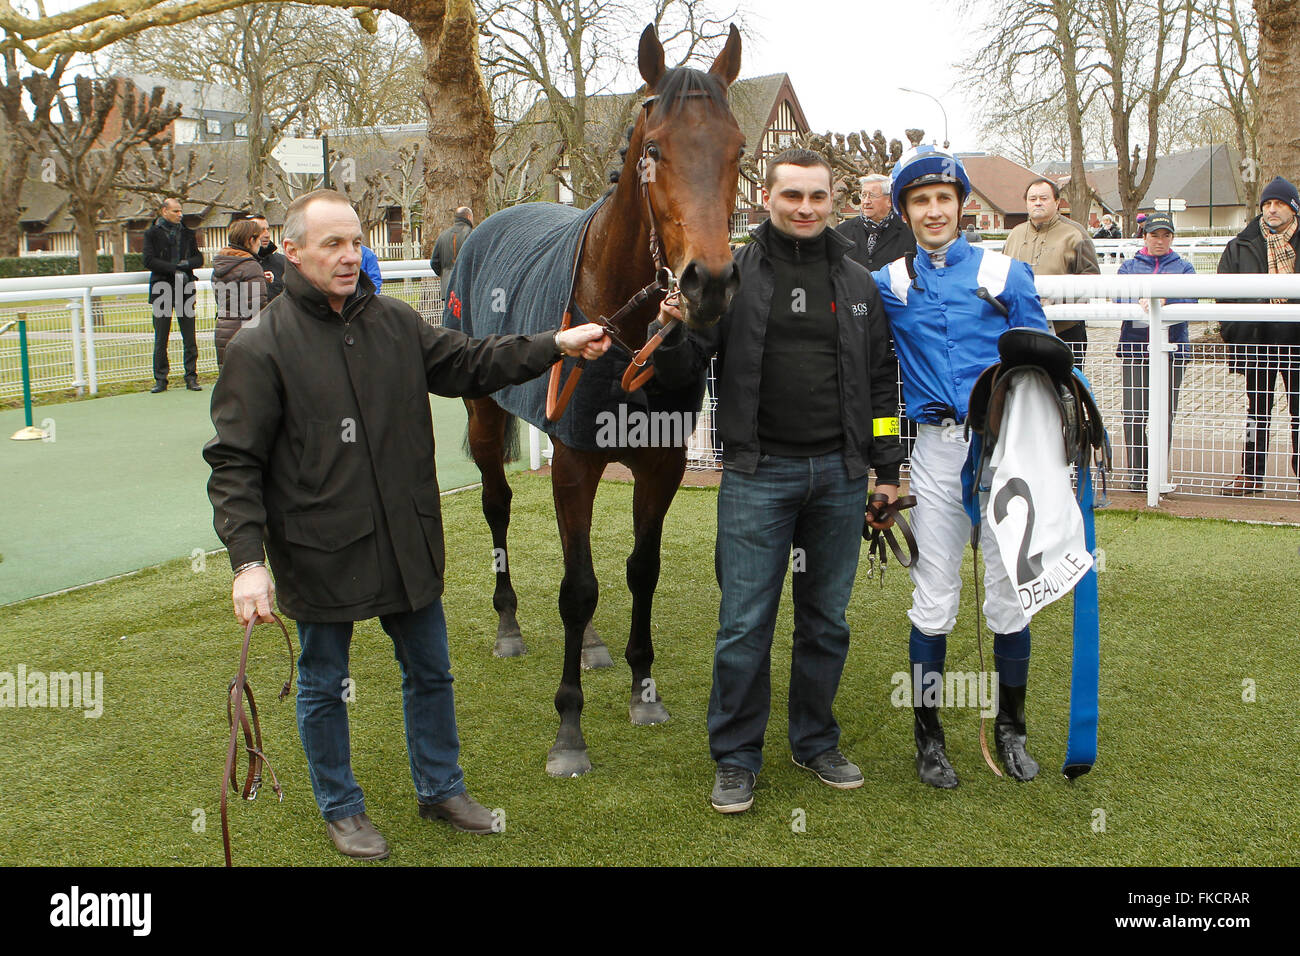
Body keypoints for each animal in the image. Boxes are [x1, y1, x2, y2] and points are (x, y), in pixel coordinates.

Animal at [454, 24, 743, 780]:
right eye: (654, 150)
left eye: (737, 149)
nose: (709, 284)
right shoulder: (577, 458)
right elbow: (578, 588)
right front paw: (569, 731)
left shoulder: (661, 463)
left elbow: (639, 570)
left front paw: (644, 690)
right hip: (484, 412)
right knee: (498, 505)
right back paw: (509, 624)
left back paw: (587, 645)